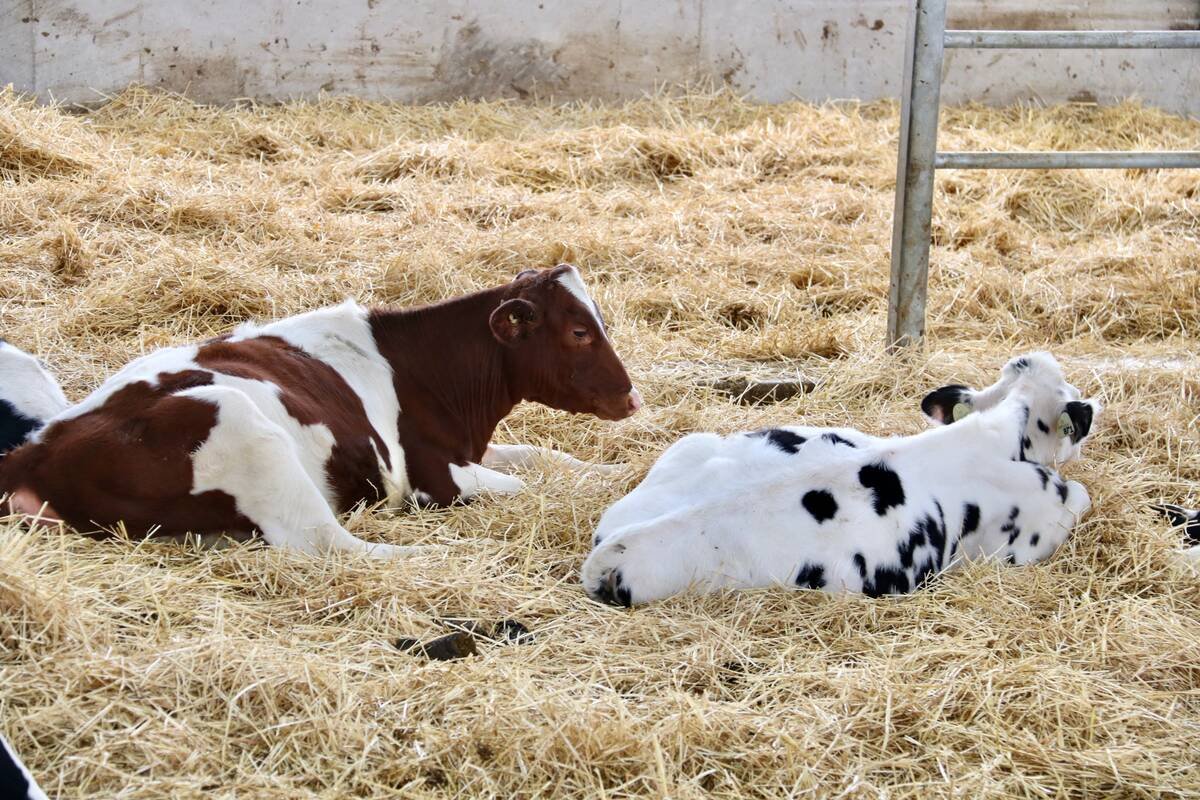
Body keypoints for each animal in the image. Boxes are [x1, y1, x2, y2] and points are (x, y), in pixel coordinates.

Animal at [0, 265, 640, 556]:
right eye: (580, 332)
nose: (632, 396)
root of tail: (38, 449)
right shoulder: (434, 476)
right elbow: (523, 484)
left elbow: (544, 456)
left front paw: (614, 472)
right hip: (240, 424)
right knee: (328, 543)